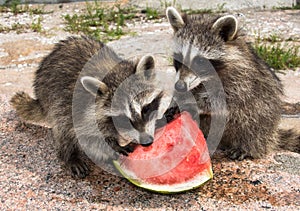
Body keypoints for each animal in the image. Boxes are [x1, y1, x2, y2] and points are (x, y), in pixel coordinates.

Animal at [10, 36, 175, 178]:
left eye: (146, 109)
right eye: (122, 118)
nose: (147, 142)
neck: (114, 72)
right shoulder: (80, 110)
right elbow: (87, 138)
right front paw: (112, 146)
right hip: (52, 99)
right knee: (61, 126)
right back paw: (70, 155)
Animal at [166, 7, 300, 160]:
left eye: (200, 61)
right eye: (178, 58)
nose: (180, 86)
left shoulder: (242, 78)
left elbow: (225, 99)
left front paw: (195, 103)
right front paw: (177, 99)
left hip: (263, 119)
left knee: (252, 123)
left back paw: (247, 147)